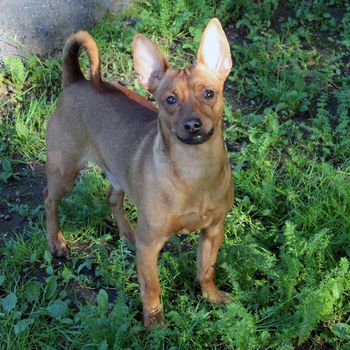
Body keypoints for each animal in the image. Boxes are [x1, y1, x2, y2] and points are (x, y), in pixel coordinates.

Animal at [45, 17, 234, 326]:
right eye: (170, 100)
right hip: (64, 172)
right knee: (49, 198)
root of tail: (77, 82)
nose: (193, 124)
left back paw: (127, 233)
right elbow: (152, 287)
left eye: (209, 94)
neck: (193, 170)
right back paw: (55, 241)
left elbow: (207, 269)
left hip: (118, 173)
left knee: (112, 197)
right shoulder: (150, 246)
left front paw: (212, 297)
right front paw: (154, 323)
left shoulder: (213, 231)